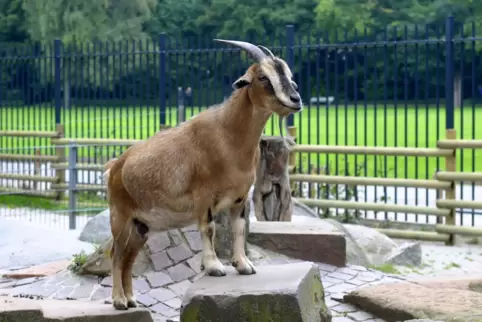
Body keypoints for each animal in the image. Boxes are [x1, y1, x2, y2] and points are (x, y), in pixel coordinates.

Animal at [104, 39, 304, 310]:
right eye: (263, 76)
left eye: (289, 75)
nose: (296, 99)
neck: (228, 136)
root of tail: (115, 167)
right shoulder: (204, 196)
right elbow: (208, 229)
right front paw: (214, 267)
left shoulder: (240, 198)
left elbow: (238, 229)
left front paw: (243, 265)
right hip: (120, 216)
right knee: (116, 254)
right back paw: (118, 301)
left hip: (140, 226)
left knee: (128, 258)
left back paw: (132, 299)